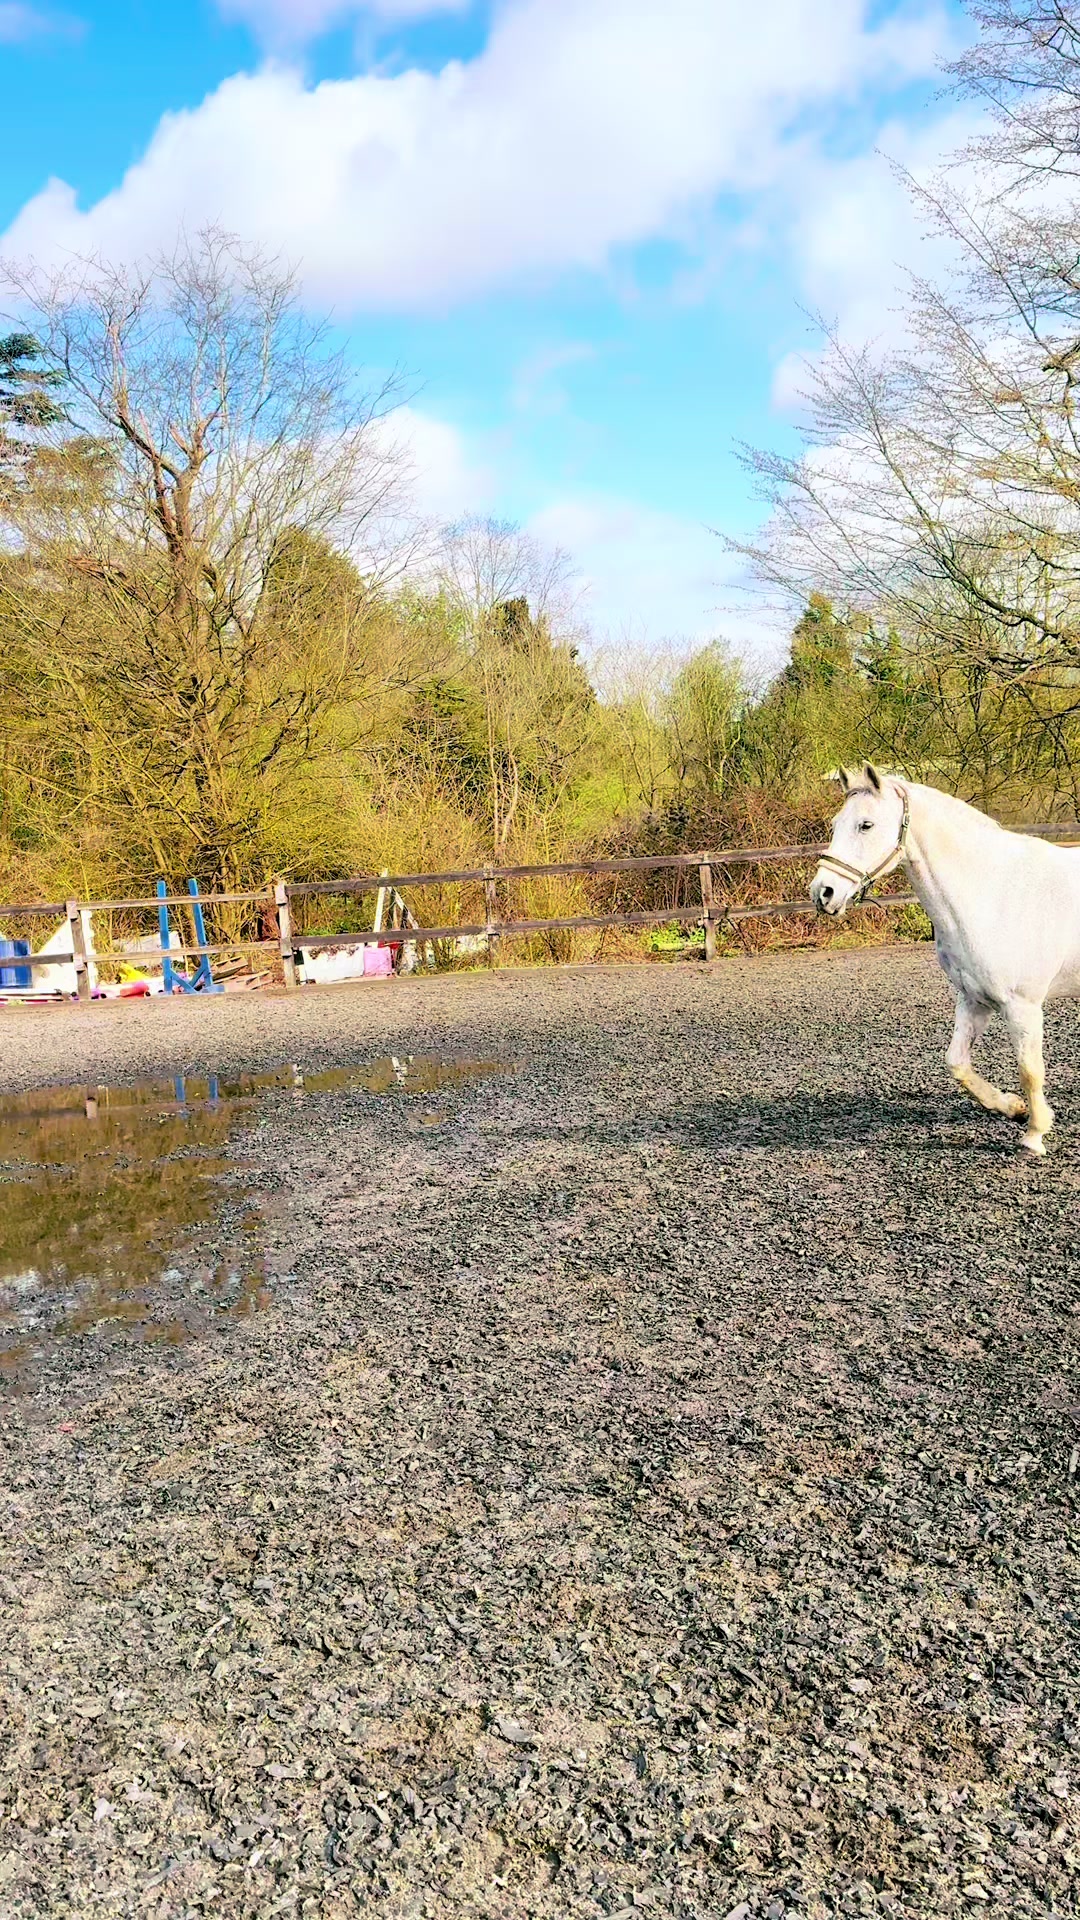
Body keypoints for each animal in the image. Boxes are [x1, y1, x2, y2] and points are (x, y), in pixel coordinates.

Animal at [811, 765, 1080, 1155]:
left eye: (866, 825)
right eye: (835, 824)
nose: (823, 893)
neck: (992, 892)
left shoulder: (1023, 1006)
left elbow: (1030, 1069)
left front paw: (1034, 1134)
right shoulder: (974, 999)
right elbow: (957, 1064)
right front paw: (1012, 1107)